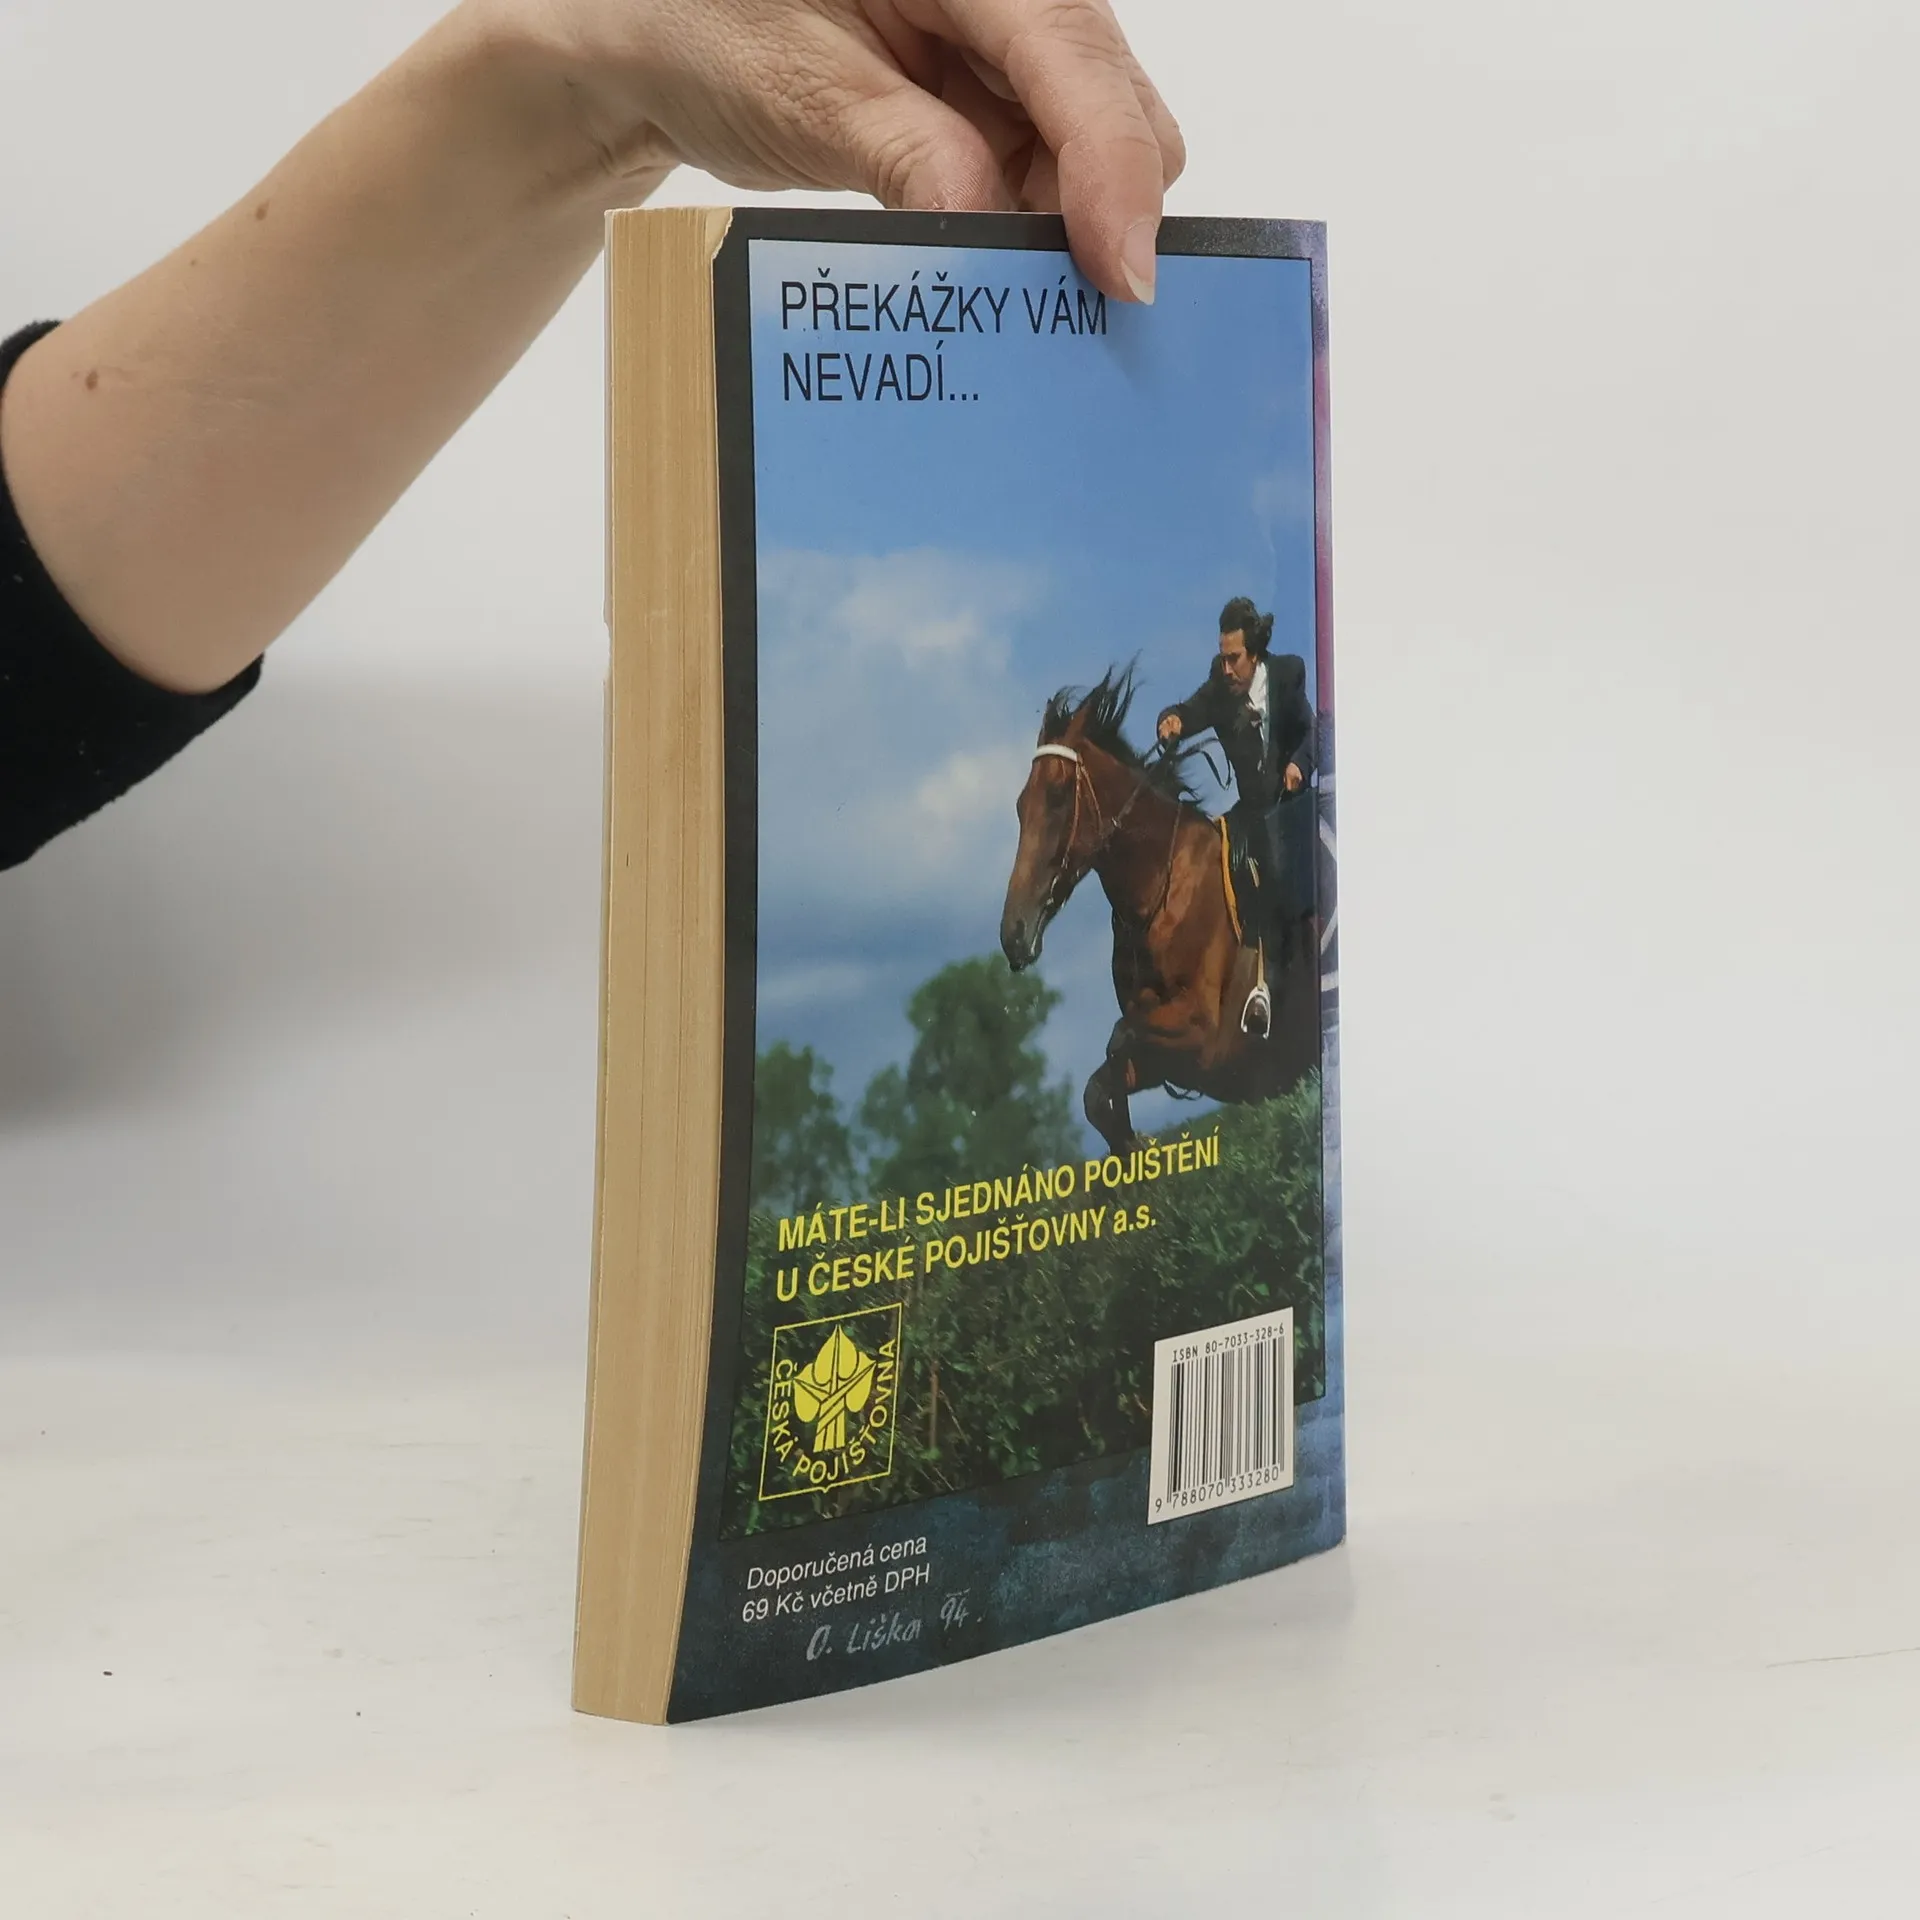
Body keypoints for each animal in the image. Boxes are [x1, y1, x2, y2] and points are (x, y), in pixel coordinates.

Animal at [998, 668, 1319, 1154]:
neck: (1159, 897)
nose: (1013, 933)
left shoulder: (1203, 1037)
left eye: (1057, 795)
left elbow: (1119, 1040)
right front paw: (1134, 1147)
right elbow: (1098, 1090)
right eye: (1020, 805)